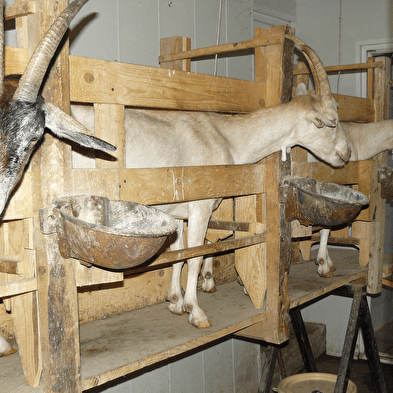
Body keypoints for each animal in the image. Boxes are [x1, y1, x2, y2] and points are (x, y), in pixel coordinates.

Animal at [70, 38, 350, 330]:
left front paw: (175, 301)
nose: (346, 153)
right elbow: (195, 256)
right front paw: (196, 312)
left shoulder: (178, 213)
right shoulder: (200, 206)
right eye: (331, 123)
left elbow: (179, 253)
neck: (227, 138)